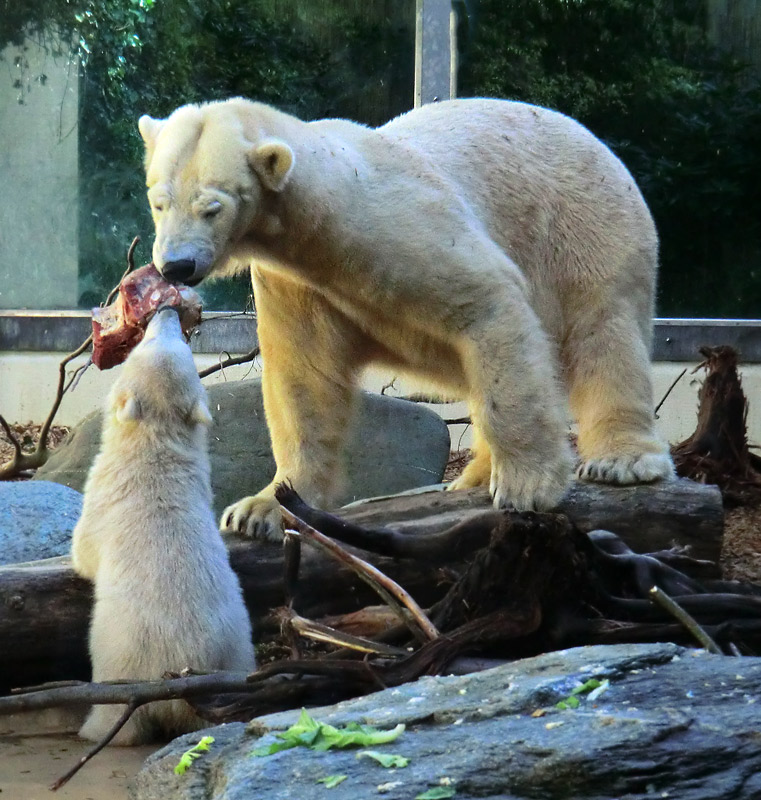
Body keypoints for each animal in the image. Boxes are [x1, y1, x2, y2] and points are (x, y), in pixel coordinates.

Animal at [140, 98, 672, 536]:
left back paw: (620, 462)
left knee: (605, 334)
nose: (175, 266)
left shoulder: (400, 227)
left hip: (586, 226)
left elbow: (489, 306)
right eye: (158, 201)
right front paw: (261, 509)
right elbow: (303, 377)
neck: (322, 221)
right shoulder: (294, 280)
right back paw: (472, 476)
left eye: (212, 207)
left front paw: (529, 485)